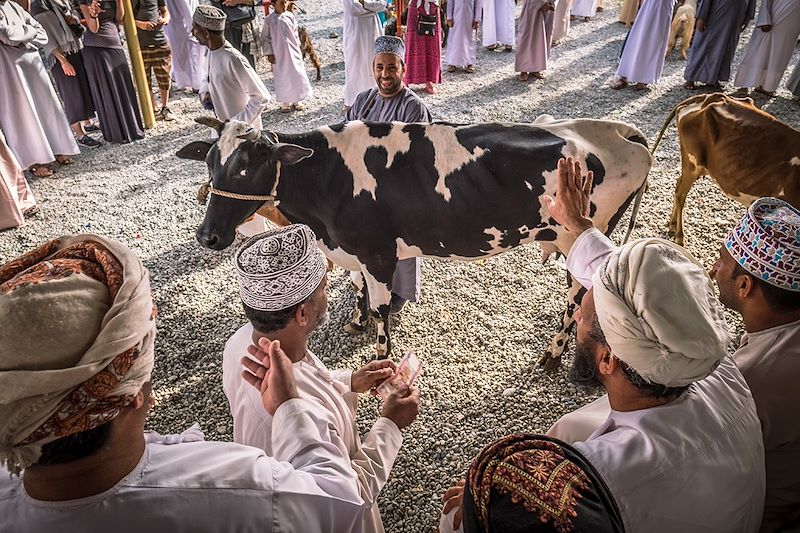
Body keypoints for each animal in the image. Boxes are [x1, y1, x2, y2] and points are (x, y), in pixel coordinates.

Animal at [178, 115, 652, 368]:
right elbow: (357, 287)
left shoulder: (378, 252)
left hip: (586, 230)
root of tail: (619, 130)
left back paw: (553, 353)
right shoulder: (355, 251)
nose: (207, 235)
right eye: (210, 162)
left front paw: (381, 359)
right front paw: (356, 320)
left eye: (244, 169)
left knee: (578, 293)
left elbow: (383, 308)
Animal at [652, 94, 796, 245]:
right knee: (681, 194)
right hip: (693, 163)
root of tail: (709, 97)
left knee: (678, 185)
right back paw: (679, 237)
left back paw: (672, 225)